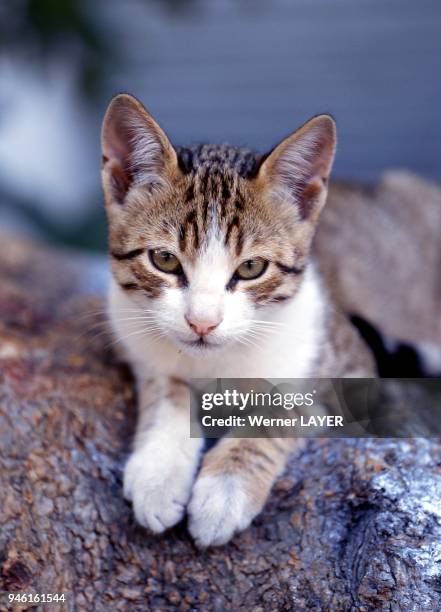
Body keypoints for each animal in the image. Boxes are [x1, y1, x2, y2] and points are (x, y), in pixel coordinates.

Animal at [100, 93, 374, 548]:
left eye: (251, 268)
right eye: (164, 259)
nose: (202, 323)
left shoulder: (347, 375)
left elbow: (283, 411)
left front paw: (225, 491)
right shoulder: (139, 342)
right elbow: (166, 391)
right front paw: (159, 471)